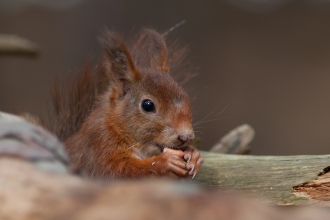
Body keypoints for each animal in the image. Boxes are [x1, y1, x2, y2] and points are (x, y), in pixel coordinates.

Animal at [50, 27, 202, 179]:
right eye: (147, 105)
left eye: (186, 96)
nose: (186, 137)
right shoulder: (100, 144)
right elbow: (117, 171)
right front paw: (164, 162)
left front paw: (193, 154)